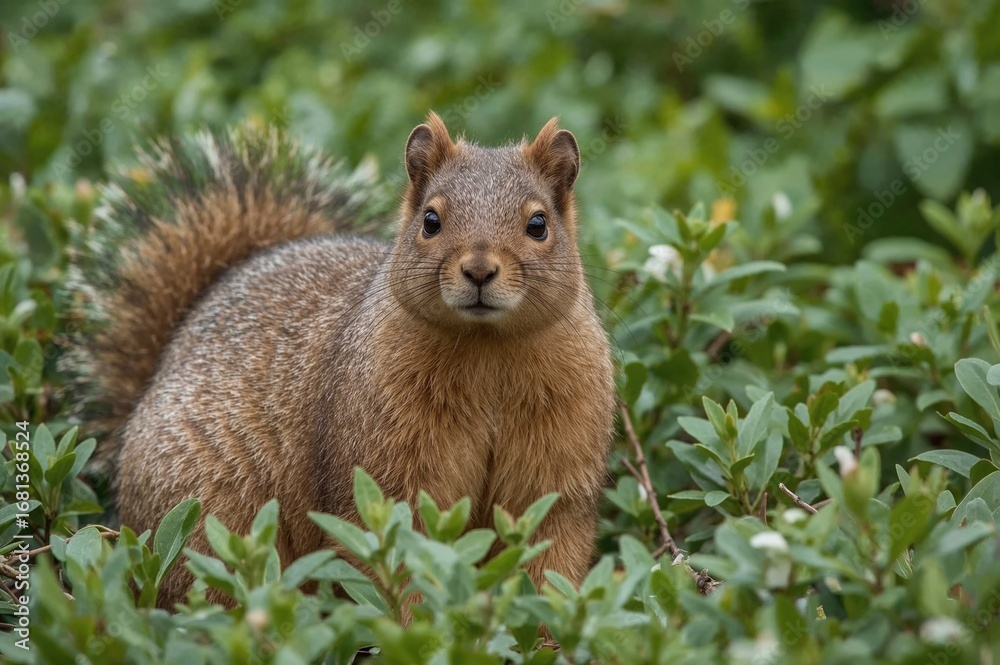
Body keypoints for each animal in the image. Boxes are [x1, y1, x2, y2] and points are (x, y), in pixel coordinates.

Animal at [69, 113, 616, 608]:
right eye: (430, 221)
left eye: (538, 224)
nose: (479, 270)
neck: (489, 351)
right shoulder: (383, 463)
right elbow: (393, 546)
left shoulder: (556, 466)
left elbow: (547, 545)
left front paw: (550, 625)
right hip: (207, 512)